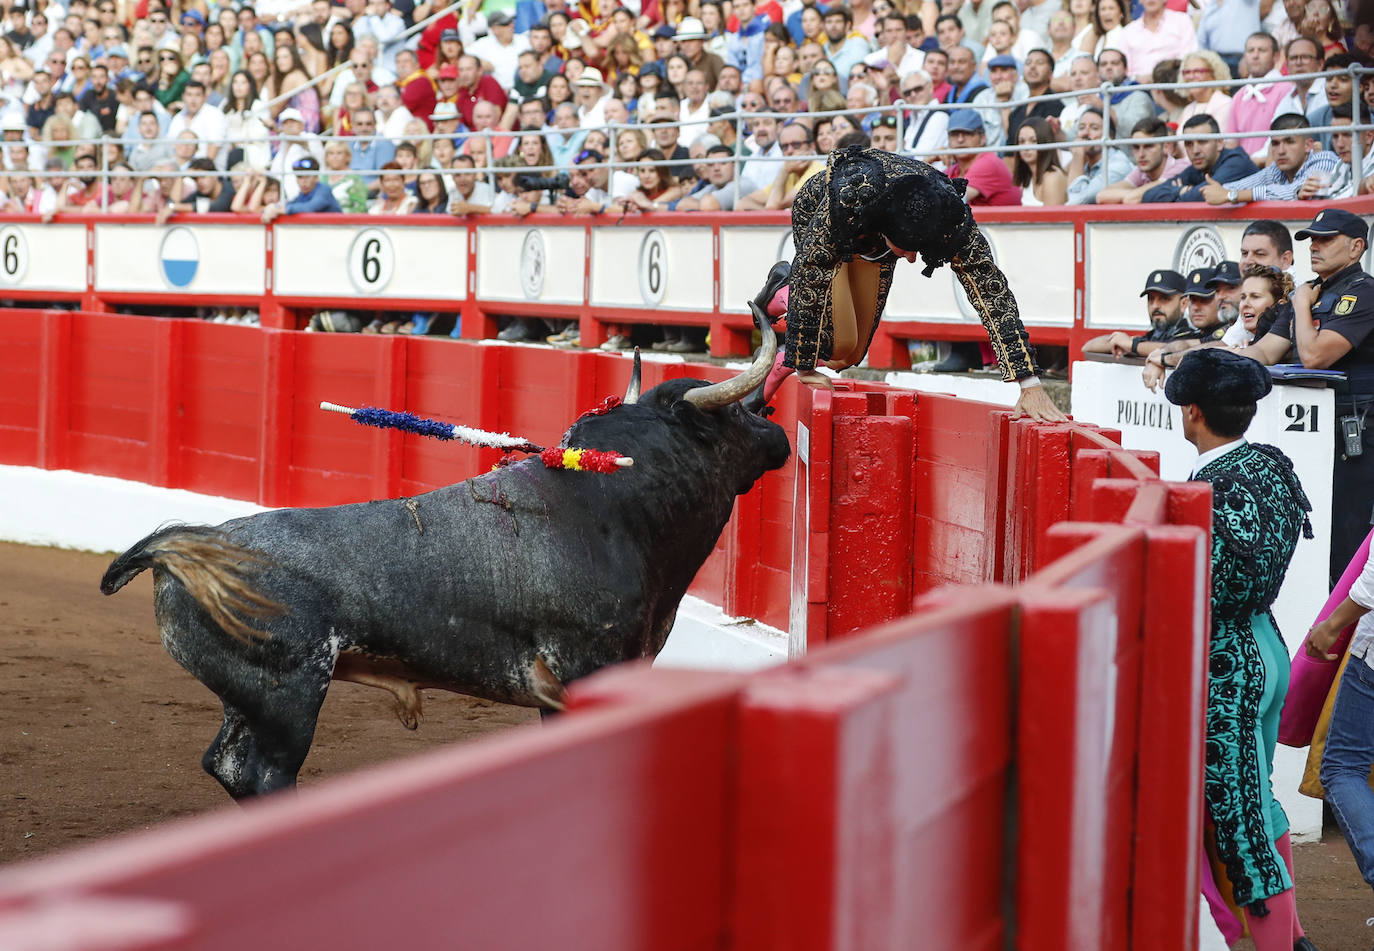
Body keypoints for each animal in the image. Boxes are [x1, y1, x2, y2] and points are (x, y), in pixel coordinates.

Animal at [101, 318, 791, 802]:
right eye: (736, 412)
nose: (779, 432)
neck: (612, 504)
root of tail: (179, 550)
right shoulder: (587, 671)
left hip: (248, 701)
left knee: (227, 766)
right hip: (287, 698)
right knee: (265, 777)